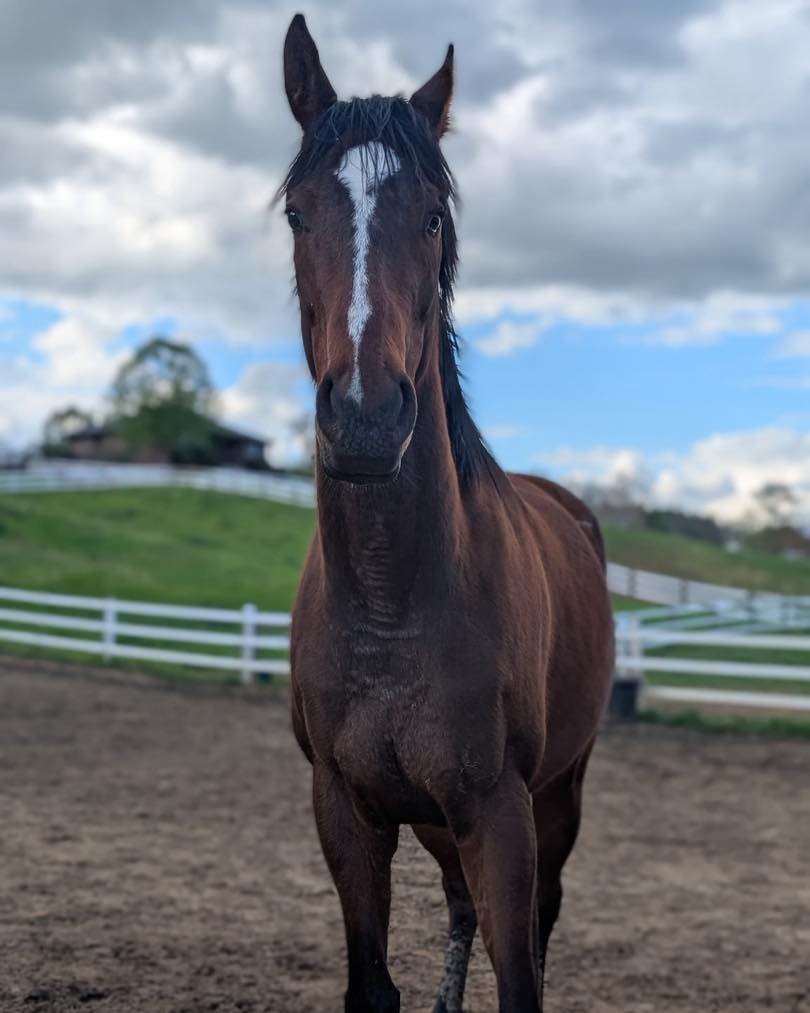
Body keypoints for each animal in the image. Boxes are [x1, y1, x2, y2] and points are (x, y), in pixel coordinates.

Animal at [281, 14, 615, 1012]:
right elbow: (374, 983)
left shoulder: (501, 813)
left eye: (431, 217)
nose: (364, 417)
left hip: (560, 794)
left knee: (537, 917)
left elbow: (522, 970)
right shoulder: (347, 812)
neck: (396, 595)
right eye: (297, 212)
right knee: (461, 906)